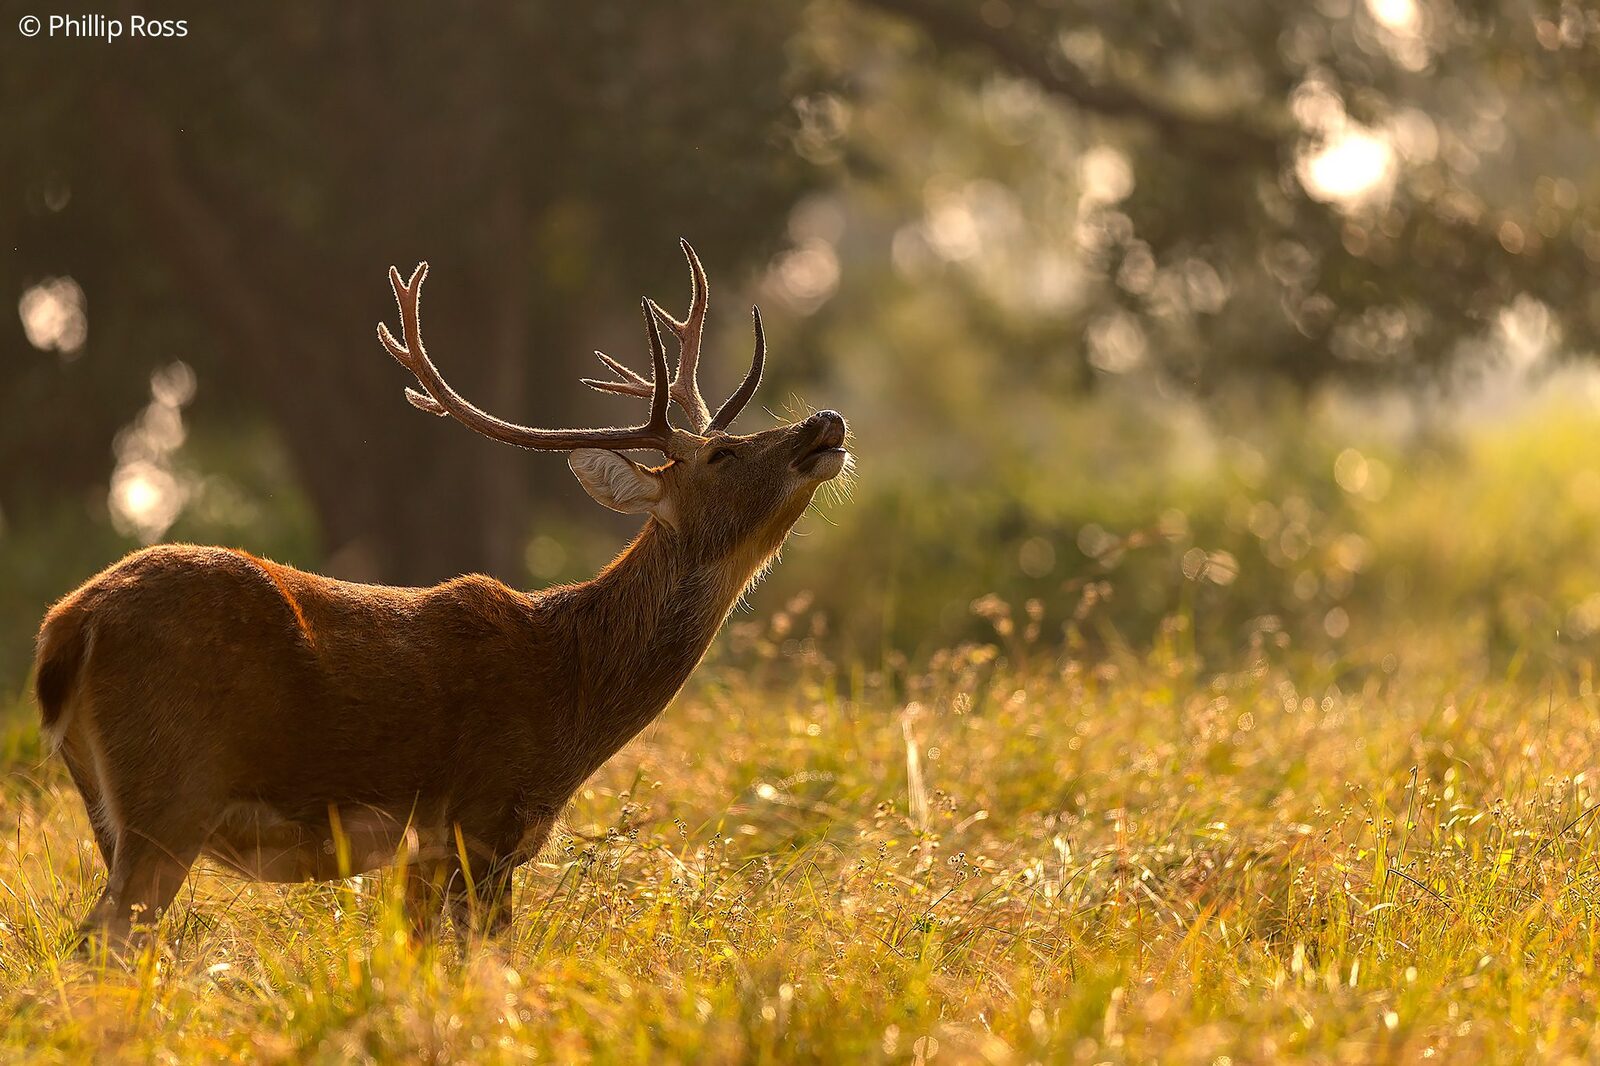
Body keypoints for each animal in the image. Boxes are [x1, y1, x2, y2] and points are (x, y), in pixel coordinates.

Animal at [33, 241, 850, 949]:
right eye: (722, 453)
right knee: (100, 938)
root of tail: (68, 623)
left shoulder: (439, 846)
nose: (826, 420)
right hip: (170, 786)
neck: (574, 695)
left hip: (105, 800)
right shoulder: (476, 819)